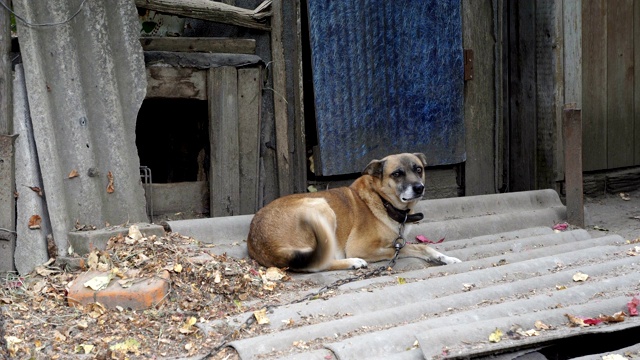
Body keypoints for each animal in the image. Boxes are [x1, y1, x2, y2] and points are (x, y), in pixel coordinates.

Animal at [248, 153, 462, 272]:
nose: (419, 188)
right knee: (319, 263)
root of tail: (260, 242)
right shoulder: (362, 247)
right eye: (397, 174)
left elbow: (420, 247)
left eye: (418, 169)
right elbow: (404, 249)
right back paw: (352, 263)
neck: (383, 201)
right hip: (322, 208)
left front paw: (445, 258)